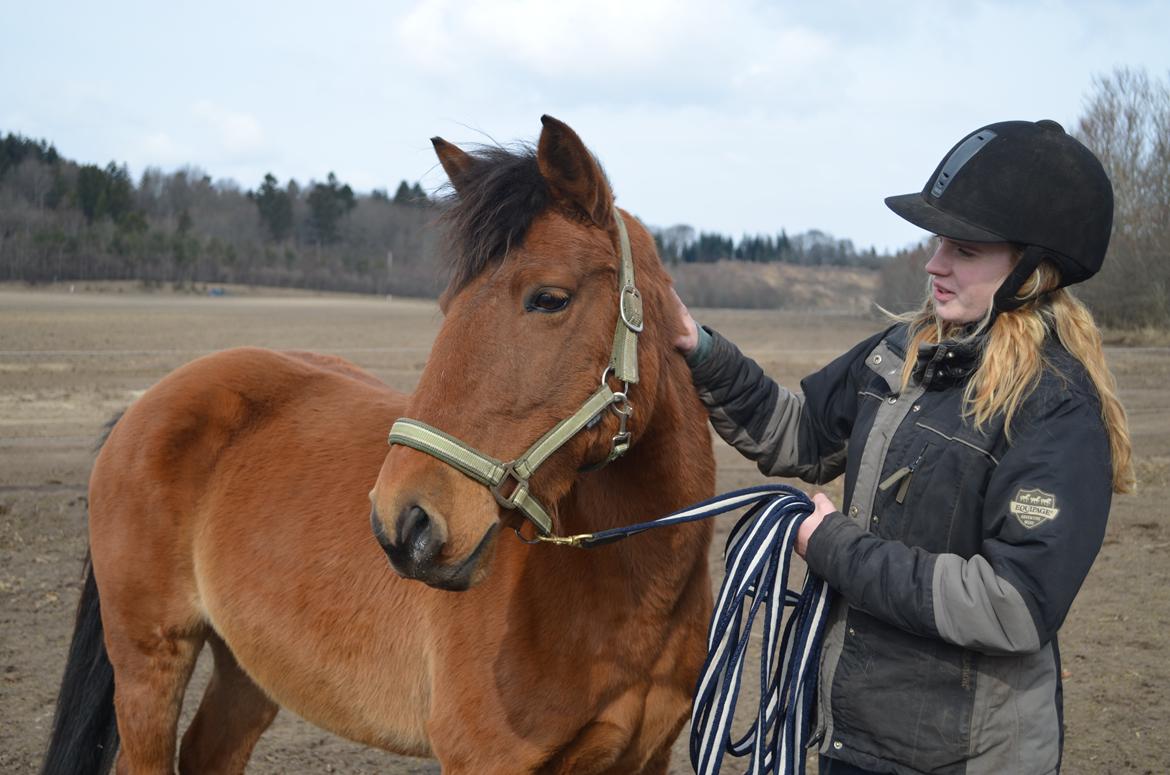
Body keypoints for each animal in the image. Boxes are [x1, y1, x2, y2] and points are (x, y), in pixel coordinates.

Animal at [43, 117, 711, 775]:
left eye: (549, 297)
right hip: (148, 663)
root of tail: (149, 402)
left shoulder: (645, 759)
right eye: (447, 305)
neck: (627, 592)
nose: (403, 521)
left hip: (250, 666)